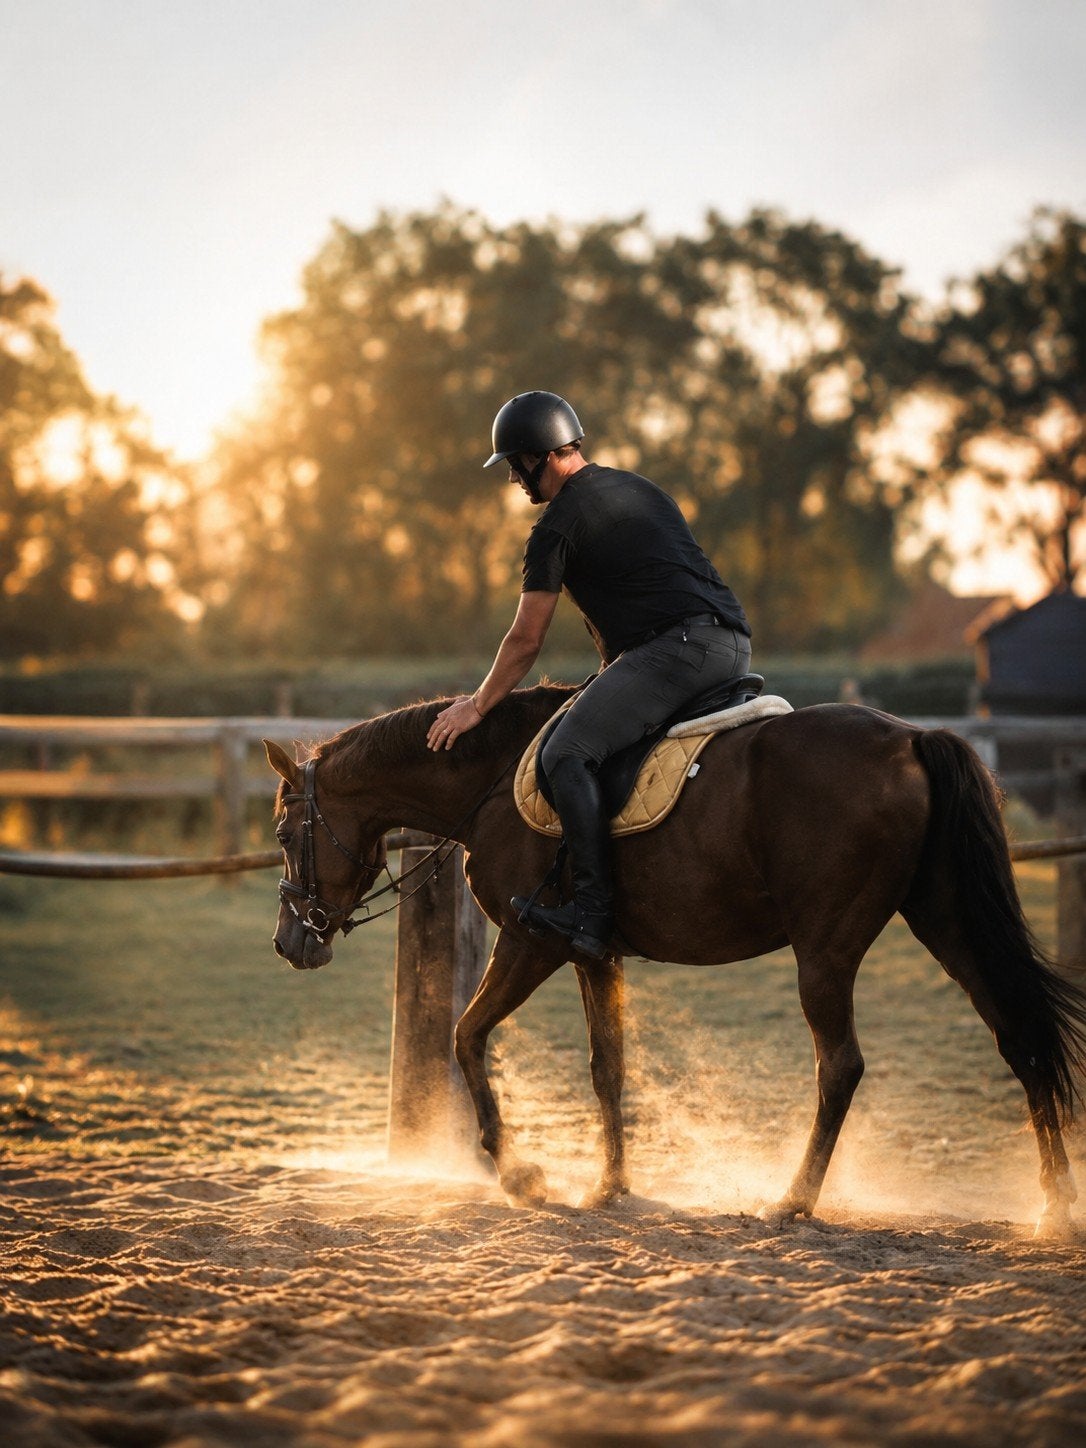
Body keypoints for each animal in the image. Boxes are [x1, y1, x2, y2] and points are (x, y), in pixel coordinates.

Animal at [264, 683, 1086, 1237]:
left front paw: (522, 1174)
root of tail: (911, 739)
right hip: (946, 918)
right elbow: (608, 1065)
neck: (489, 781)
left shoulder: (531, 944)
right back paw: (1053, 1203)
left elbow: (466, 1036)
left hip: (825, 949)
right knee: (1019, 1037)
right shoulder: (594, 955)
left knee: (841, 1066)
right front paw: (611, 1185)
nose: (289, 942)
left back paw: (795, 1199)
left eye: (280, 833)